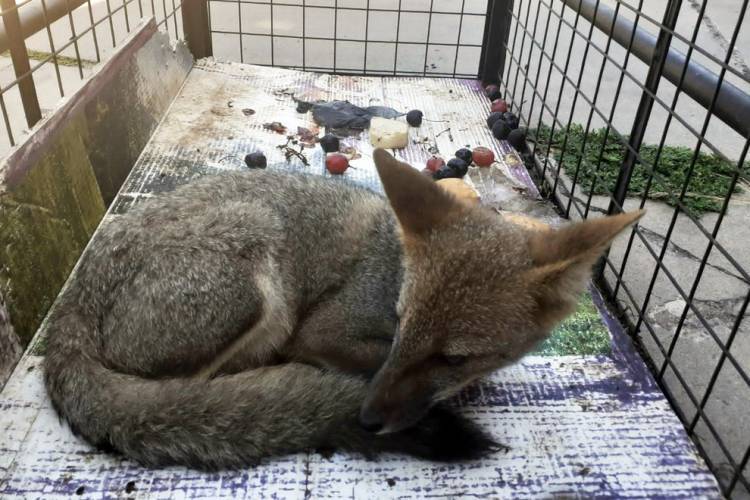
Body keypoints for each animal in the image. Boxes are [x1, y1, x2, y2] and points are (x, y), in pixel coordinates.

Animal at [44, 148, 648, 468]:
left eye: (454, 356)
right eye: (400, 323)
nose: (368, 419)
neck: (393, 265)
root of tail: (77, 293)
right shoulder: (322, 332)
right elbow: (367, 361)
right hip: (259, 267)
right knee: (192, 396)